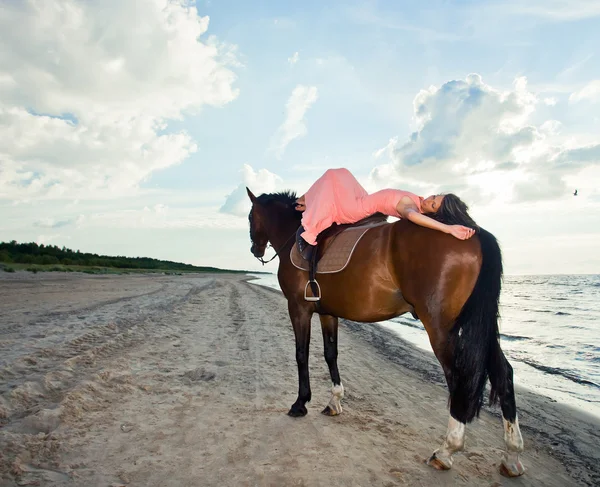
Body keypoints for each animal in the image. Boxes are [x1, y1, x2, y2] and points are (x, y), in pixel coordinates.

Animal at [246, 188, 524, 476]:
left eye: (250, 217)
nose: (255, 249)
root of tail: (472, 231)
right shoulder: (327, 312)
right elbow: (330, 354)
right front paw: (334, 401)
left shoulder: (298, 309)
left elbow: (301, 354)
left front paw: (300, 403)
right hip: (480, 327)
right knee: (503, 373)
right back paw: (512, 454)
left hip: (442, 328)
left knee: (459, 377)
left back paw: (447, 450)